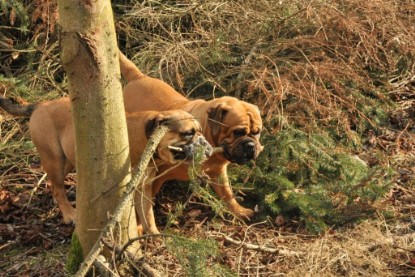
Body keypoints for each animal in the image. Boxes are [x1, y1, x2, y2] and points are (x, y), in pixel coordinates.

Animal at [0, 95, 210, 224]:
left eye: (200, 131)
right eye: (188, 133)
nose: (205, 144)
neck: (143, 138)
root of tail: (40, 105)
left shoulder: (142, 189)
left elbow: (147, 215)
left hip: (69, 161)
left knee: (54, 186)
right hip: (55, 159)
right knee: (58, 189)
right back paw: (70, 214)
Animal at [118, 51, 264, 231]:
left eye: (257, 133)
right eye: (238, 132)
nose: (251, 145)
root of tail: (138, 76)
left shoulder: (218, 172)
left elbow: (228, 194)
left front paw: (240, 211)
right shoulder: (155, 177)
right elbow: (146, 203)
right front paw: (140, 226)